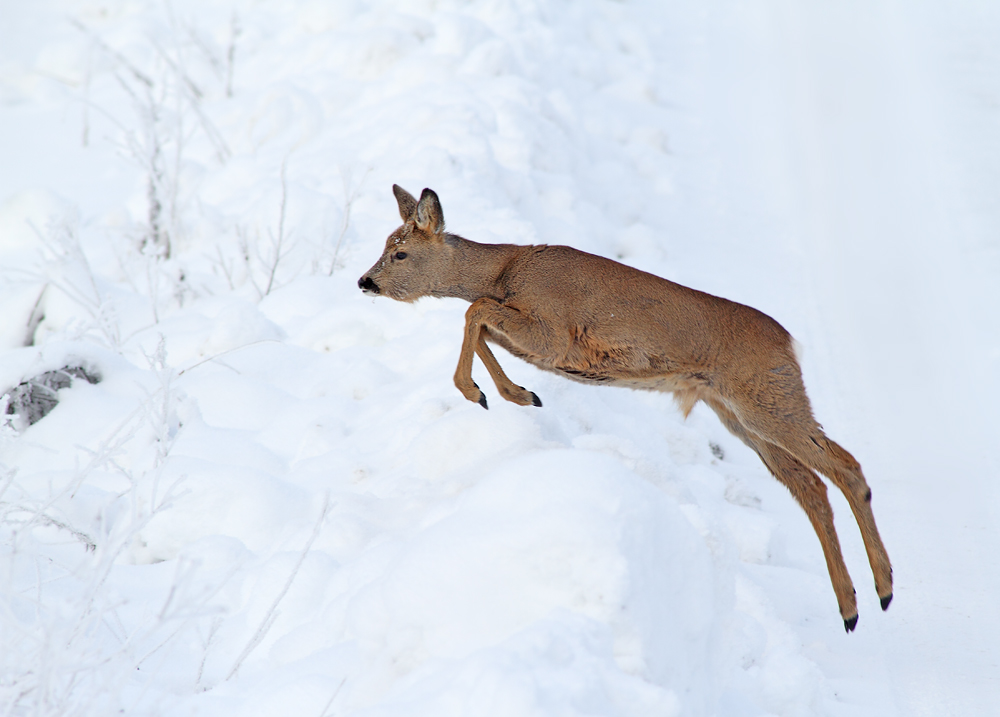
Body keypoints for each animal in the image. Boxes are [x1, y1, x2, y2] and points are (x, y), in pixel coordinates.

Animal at [360, 186, 892, 632]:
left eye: (400, 252)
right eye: (385, 244)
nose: (365, 281)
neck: (503, 272)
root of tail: (790, 344)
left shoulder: (554, 331)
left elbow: (475, 312)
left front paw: (475, 391)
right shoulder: (535, 340)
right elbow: (483, 326)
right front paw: (517, 394)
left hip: (767, 398)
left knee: (846, 467)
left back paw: (882, 590)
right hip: (739, 415)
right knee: (812, 486)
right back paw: (852, 606)